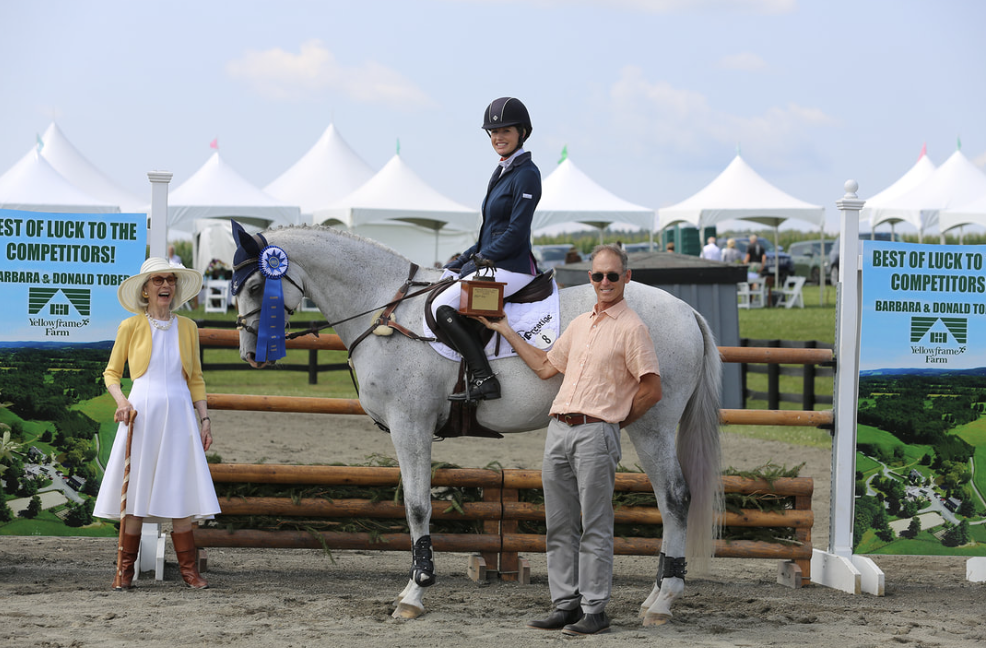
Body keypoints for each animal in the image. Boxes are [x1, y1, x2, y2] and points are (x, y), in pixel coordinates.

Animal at [233, 225, 724, 624]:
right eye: (237, 287)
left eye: (257, 285)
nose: (251, 355)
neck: (384, 310)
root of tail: (687, 311)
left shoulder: (410, 424)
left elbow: (417, 506)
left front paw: (415, 593)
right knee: (667, 501)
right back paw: (654, 597)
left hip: (652, 425)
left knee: (675, 499)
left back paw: (663, 602)